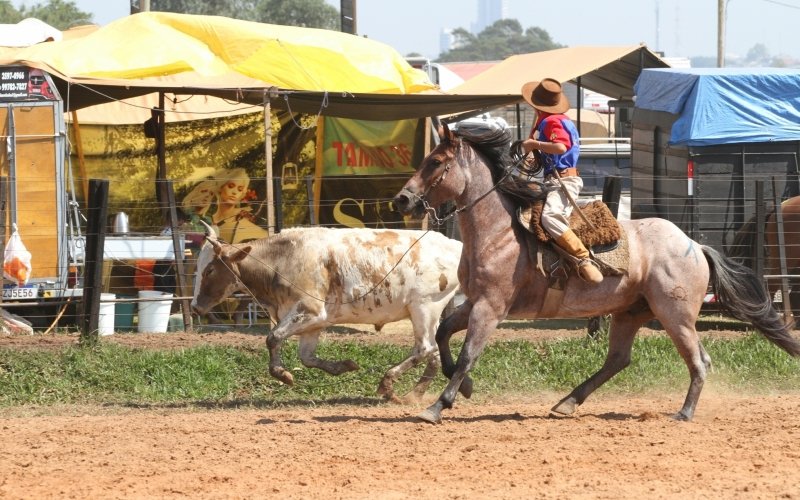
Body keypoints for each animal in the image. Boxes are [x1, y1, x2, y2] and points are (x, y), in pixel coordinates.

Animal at [390, 121, 800, 422]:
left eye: (435, 162)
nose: (402, 200)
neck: (499, 233)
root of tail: (695, 246)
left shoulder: (491, 308)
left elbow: (468, 354)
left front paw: (437, 406)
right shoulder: (474, 302)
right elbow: (443, 334)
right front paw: (466, 388)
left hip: (675, 314)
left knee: (697, 361)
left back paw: (683, 413)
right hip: (631, 313)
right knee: (620, 359)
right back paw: (567, 402)